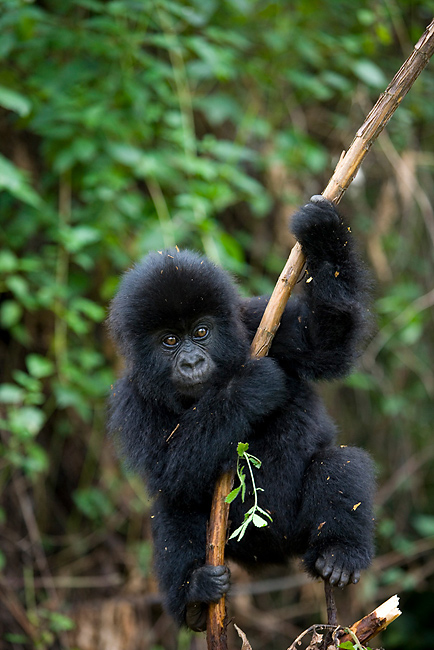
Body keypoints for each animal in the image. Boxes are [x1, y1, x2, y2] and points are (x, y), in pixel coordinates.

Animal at [107, 196, 372, 628]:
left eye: (201, 332)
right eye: (169, 341)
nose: (192, 362)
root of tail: (276, 555)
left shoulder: (258, 319)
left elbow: (326, 343)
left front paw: (322, 233)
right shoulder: (132, 400)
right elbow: (170, 470)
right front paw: (250, 387)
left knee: (340, 461)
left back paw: (339, 554)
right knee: (173, 508)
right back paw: (195, 597)